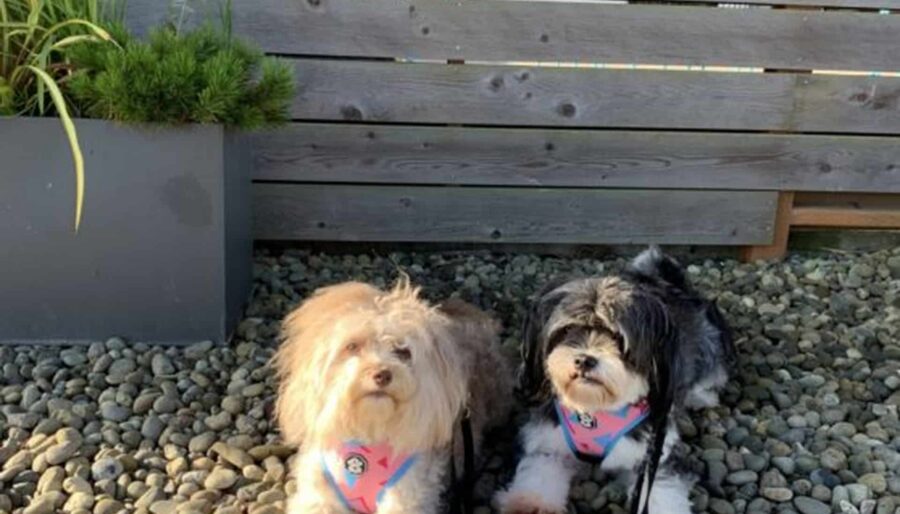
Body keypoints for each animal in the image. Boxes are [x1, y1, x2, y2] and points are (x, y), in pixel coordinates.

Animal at [274, 280, 512, 512]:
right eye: (352, 346)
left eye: (403, 351)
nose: (382, 374)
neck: (371, 430)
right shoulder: (318, 495)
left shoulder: (408, 496)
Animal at [496, 246, 736, 510]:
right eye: (567, 330)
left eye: (619, 338)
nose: (584, 360)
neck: (595, 410)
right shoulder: (548, 443)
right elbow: (538, 475)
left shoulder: (655, 456)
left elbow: (661, 492)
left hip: (709, 344)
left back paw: (700, 396)